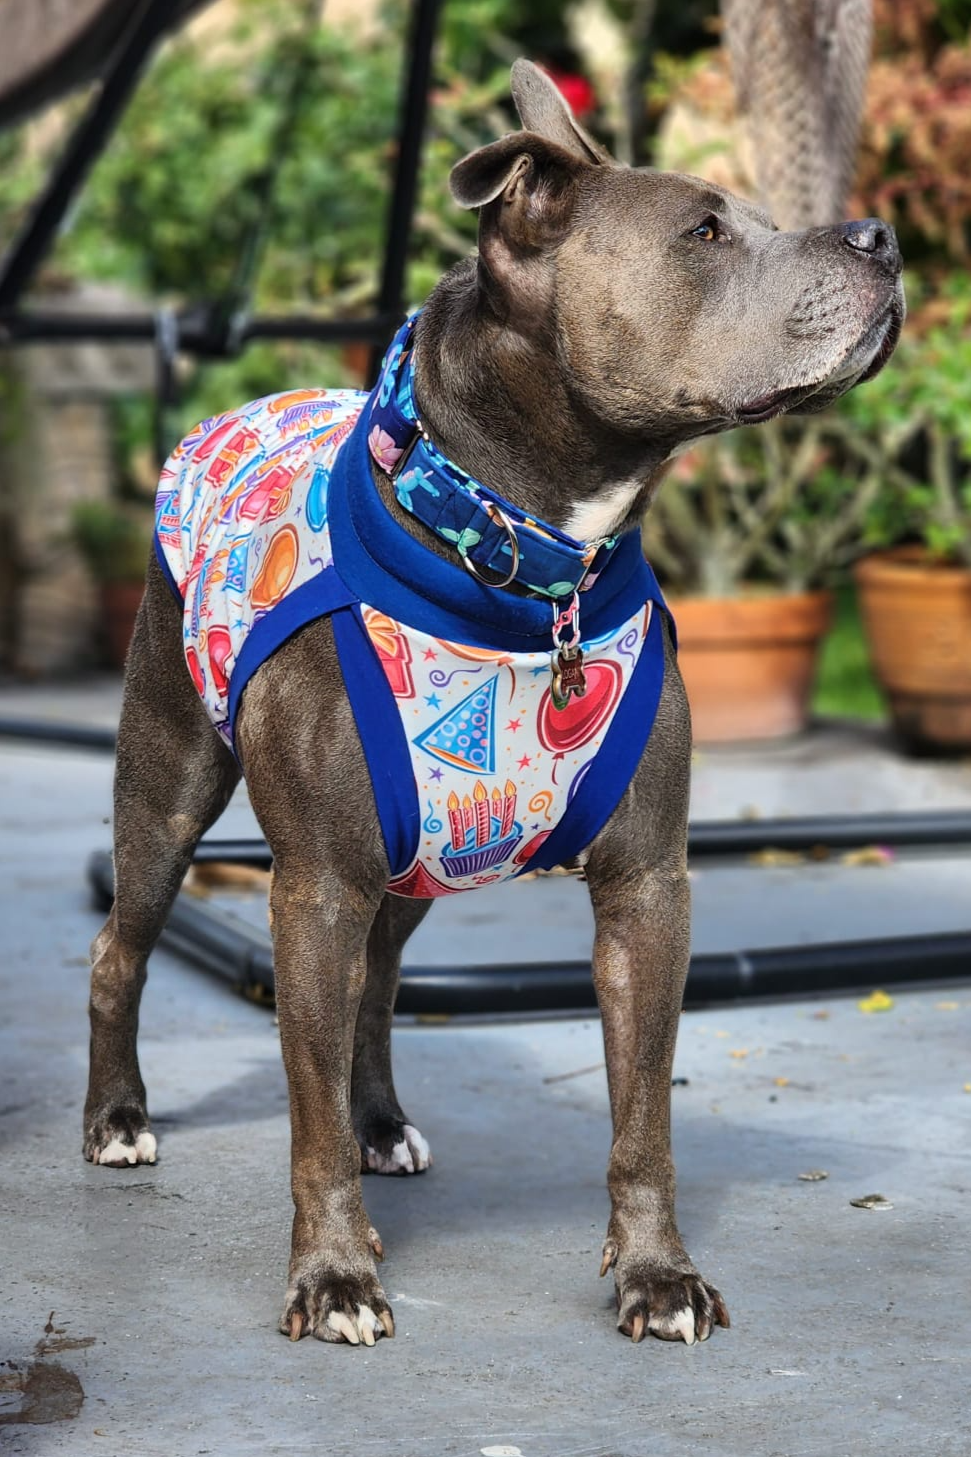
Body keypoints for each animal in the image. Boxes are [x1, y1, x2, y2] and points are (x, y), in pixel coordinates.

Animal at [83, 62, 898, 1346]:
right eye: (702, 232)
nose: (881, 236)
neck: (527, 568)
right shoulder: (313, 885)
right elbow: (304, 1117)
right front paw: (334, 1274)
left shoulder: (646, 887)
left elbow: (642, 1115)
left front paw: (655, 1272)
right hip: (167, 786)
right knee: (123, 947)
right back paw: (117, 1118)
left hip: (415, 864)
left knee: (377, 987)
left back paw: (379, 1123)